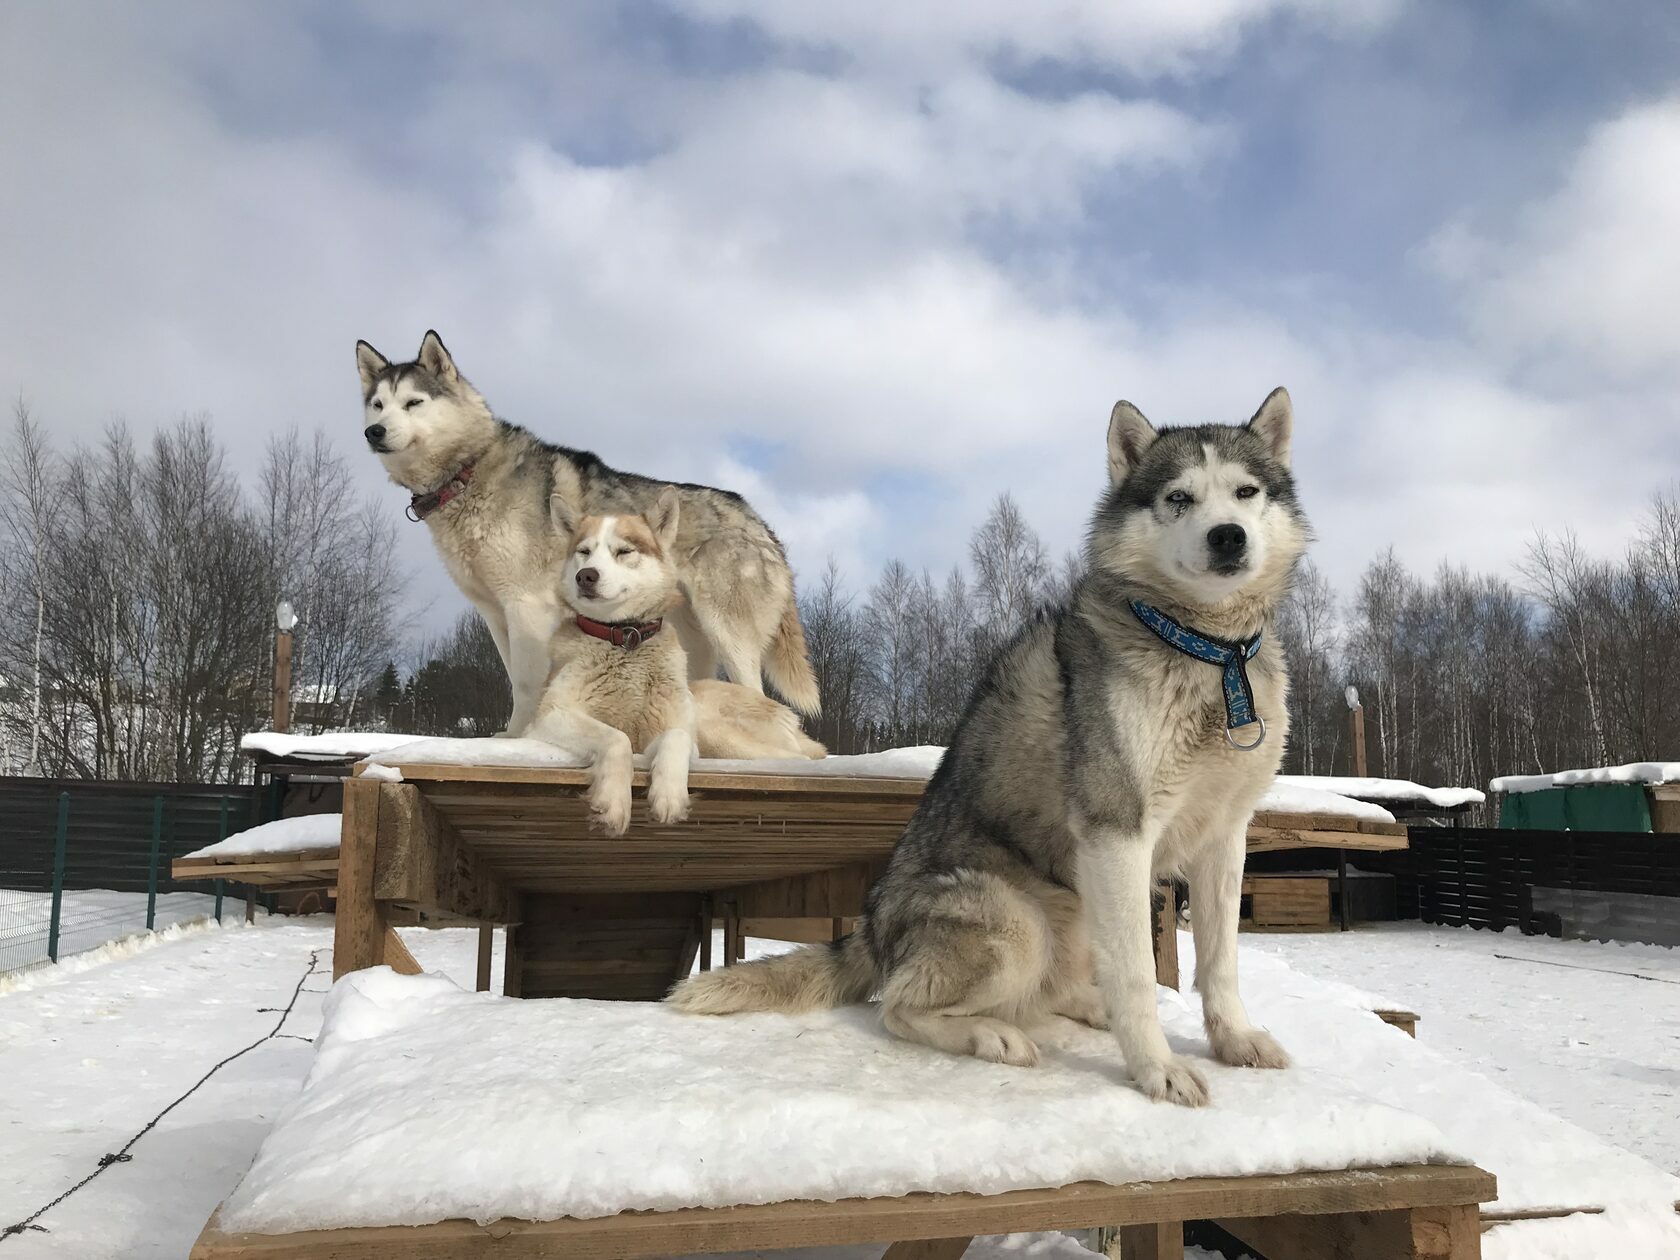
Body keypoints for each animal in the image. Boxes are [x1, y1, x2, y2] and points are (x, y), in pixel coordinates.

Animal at [357, 330, 823, 735]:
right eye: (378, 405)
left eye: (413, 402)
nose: (373, 432)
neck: (466, 471)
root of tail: (760, 523)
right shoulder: (494, 613)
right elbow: (513, 679)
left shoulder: (527, 606)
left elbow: (526, 684)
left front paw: (517, 740)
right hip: (693, 640)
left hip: (729, 633)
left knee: (755, 690)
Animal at [530, 493, 826, 840]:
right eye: (584, 551)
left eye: (624, 551)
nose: (586, 576)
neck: (624, 639)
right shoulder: (549, 716)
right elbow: (617, 738)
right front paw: (614, 803)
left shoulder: (679, 730)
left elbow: (676, 738)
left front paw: (669, 797)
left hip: (715, 726)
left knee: (797, 757)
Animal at [672, 389, 1310, 1108]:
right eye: (1179, 498)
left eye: (1246, 492)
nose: (1228, 536)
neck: (1205, 653)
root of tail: (871, 926)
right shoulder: (1117, 832)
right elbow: (1139, 979)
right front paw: (1156, 1068)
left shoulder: (1224, 836)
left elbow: (1221, 962)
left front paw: (1235, 1040)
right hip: (1020, 921)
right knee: (899, 1006)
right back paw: (993, 1035)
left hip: (1077, 907)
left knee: (1052, 988)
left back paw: (1085, 1007)